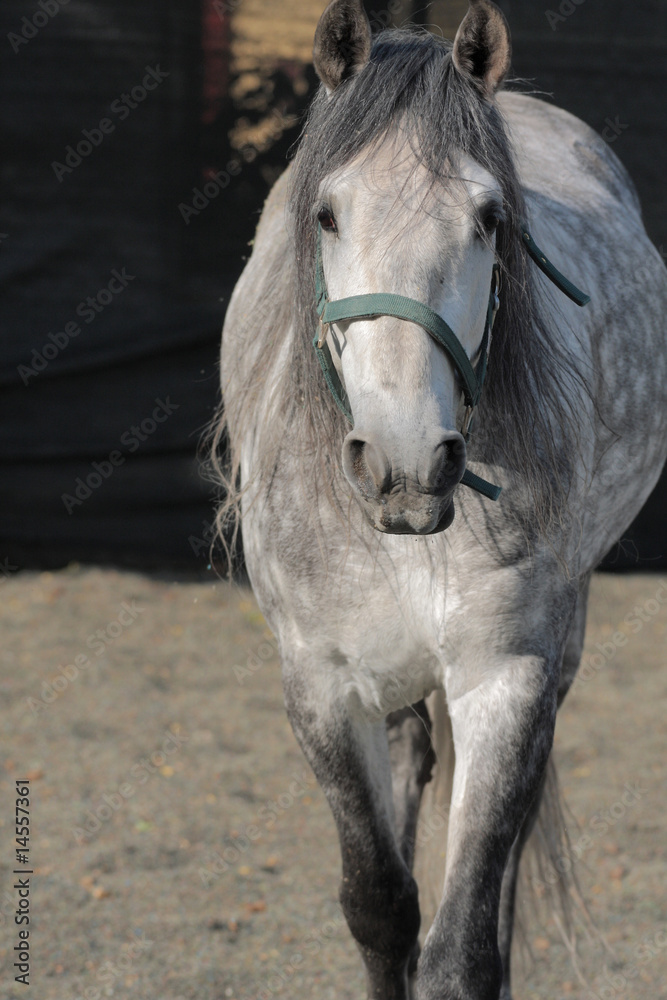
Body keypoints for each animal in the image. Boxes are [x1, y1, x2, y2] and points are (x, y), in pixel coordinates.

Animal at [215, 2, 667, 997]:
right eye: (326, 212)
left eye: (489, 217)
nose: (405, 460)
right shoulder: (320, 686)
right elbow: (380, 906)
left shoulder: (507, 677)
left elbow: (461, 943)